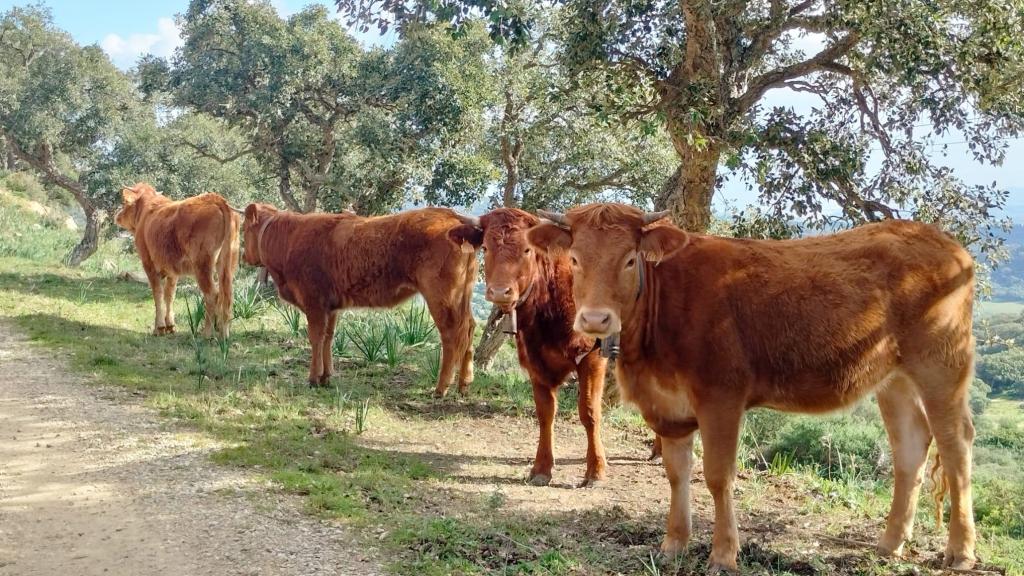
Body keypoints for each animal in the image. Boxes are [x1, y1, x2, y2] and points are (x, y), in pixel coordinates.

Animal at [115, 183, 240, 338]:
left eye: (124, 202)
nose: (117, 215)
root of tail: (216, 199)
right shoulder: (172, 270)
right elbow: (170, 294)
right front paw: (170, 326)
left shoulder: (148, 263)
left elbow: (158, 293)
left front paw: (159, 328)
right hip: (228, 264)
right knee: (227, 295)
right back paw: (224, 334)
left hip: (202, 265)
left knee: (212, 294)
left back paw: (207, 334)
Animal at [242, 204, 477, 394]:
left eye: (244, 229)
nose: (244, 256)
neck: (289, 240)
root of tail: (451, 217)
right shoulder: (331, 307)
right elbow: (328, 338)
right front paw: (326, 376)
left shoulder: (314, 302)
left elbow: (315, 338)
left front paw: (313, 378)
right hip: (461, 297)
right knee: (469, 328)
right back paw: (463, 384)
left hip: (442, 298)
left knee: (451, 335)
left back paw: (441, 388)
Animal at [447, 208, 607, 487]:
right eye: (485, 247)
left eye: (527, 250)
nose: (499, 291)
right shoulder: (534, 361)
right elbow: (545, 413)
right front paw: (541, 468)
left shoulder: (592, 357)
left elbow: (589, 413)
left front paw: (596, 471)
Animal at [527, 203, 977, 572]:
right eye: (574, 259)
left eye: (630, 259)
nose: (595, 319)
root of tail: (941, 240)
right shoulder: (667, 406)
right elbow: (676, 472)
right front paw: (673, 544)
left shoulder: (721, 396)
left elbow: (717, 475)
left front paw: (724, 555)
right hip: (894, 378)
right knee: (911, 448)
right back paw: (890, 544)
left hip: (941, 363)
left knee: (955, 445)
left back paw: (961, 551)